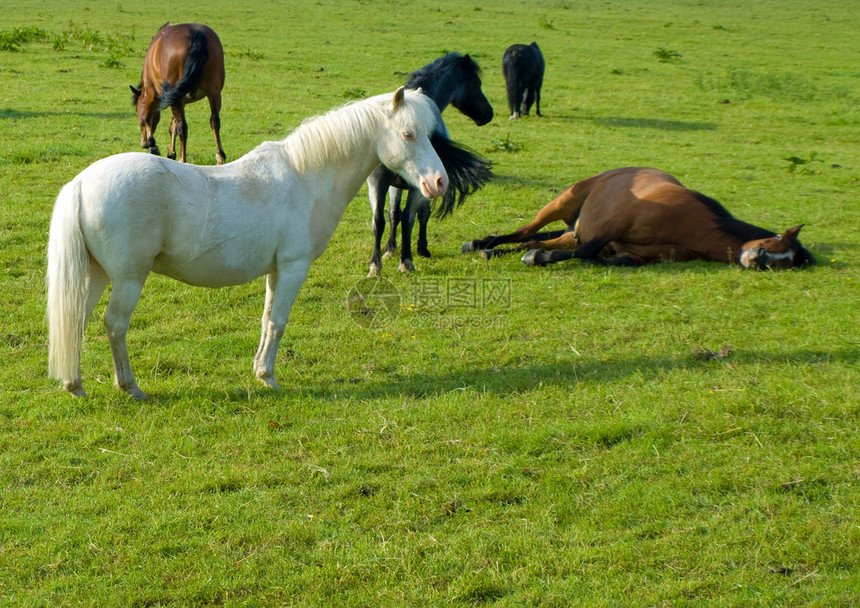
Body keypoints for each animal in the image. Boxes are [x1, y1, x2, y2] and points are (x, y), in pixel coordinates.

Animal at [45, 86, 450, 400]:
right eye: (408, 135)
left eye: (429, 134)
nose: (439, 183)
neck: (305, 178)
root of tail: (81, 183)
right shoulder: (293, 267)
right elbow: (279, 322)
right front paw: (269, 378)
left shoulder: (276, 271)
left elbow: (267, 319)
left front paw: (260, 371)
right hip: (128, 279)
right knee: (114, 324)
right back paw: (130, 387)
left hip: (96, 274)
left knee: (76, 318)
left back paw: (75, 385)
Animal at [129, 22, 227, 164]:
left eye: (137, 113)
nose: (143, 143)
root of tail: (195, 33)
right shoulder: (179, 99)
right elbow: (172, 126)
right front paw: (171, 152)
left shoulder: (151, 93)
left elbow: (148, 118)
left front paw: (153, 145)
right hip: (213, 93)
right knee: (214, 121)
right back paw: (220, 157)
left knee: (183, 127)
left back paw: (182, 158)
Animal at [366, 52, 494, 276]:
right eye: (476, 83)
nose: (488, 114)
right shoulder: (425, 185)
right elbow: (420, 215)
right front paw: (420, 249)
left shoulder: (394, 184)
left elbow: (393, 214)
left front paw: (390, 249)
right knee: (408, 218)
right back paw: (406, 261)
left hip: (377, 184)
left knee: (379, 220)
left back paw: (376, 265)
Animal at [460, 167, 816, 270]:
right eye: (772, 244)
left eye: (782, 264)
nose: (755, 259)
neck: (693, 227)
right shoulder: (615, 224)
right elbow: (588, 251)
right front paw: (540, 259)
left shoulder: (634, 255)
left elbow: (604, 259)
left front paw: (540, 257)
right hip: (564, 202)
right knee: (526, 230)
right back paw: (480, 243)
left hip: (571, 231)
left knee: (534, 239)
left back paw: (495, 251)